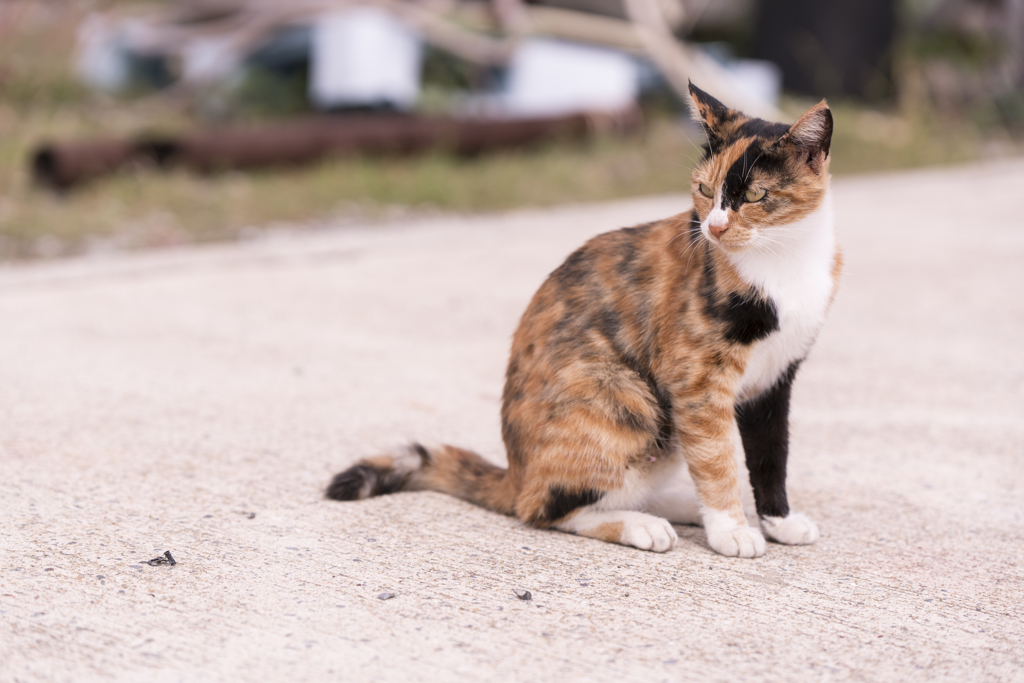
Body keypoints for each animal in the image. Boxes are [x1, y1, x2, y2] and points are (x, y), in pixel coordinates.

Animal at [325, 82, 839, 557]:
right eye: (704, 190)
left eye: (755, 194)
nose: (713, 227)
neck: (782, 261)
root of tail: (516, 472)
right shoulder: (696, 381)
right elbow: (716, 458)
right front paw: (731, 530)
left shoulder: (776, 377)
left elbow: (772, 456)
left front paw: (779, 522)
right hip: (625, 398)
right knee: (543, 507)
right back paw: (641, 523)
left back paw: (675, 505)